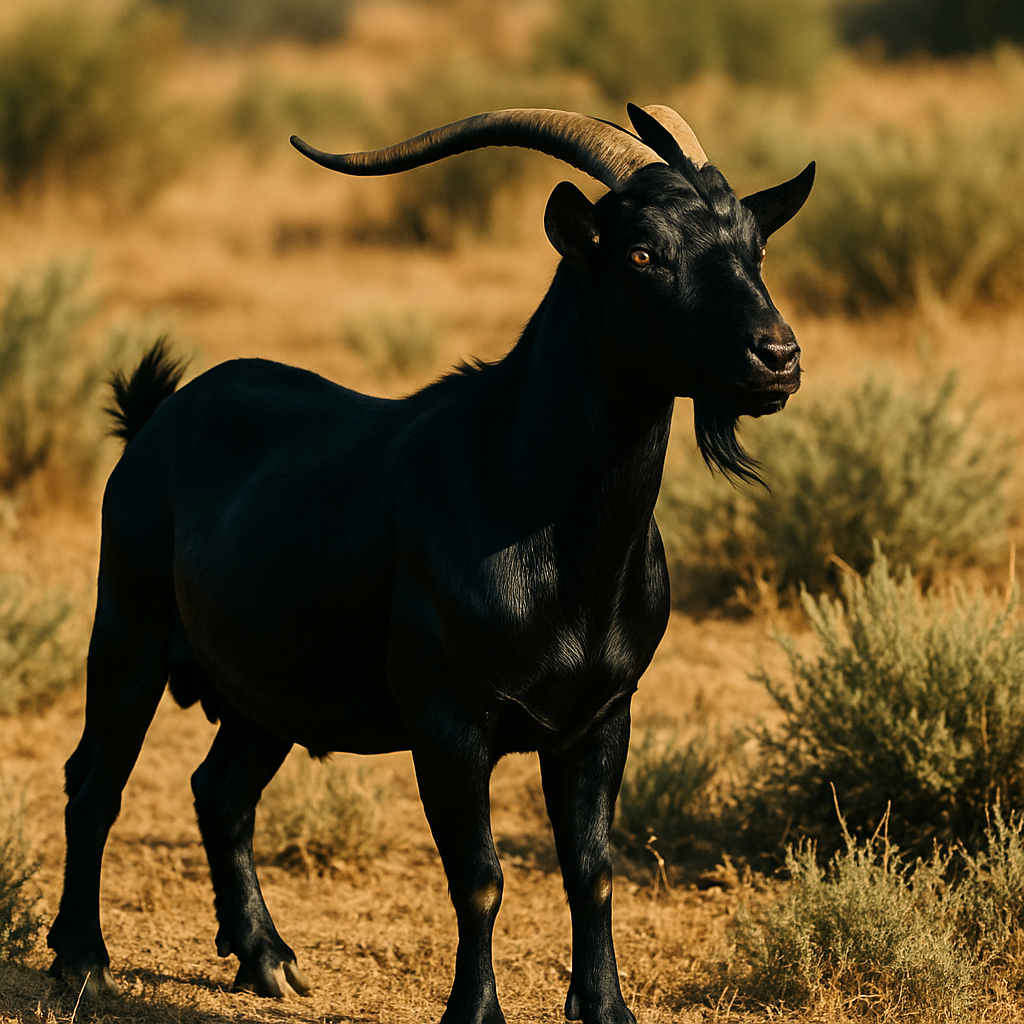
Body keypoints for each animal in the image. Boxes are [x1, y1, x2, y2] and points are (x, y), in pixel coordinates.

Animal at [48, 104, 813, 1024]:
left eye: (756, 248)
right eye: (642, 254)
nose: (777, 356)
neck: (531, 499)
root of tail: (156, 416)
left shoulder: (602, 714)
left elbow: (592, 871)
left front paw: (607, 1008)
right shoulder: (448, 719)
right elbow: (479, 878)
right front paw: (474, 1013)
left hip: (266, 689)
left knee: (220, 791)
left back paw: (266, 958)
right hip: (126, 628)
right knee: (95, 782)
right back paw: (82, 961)